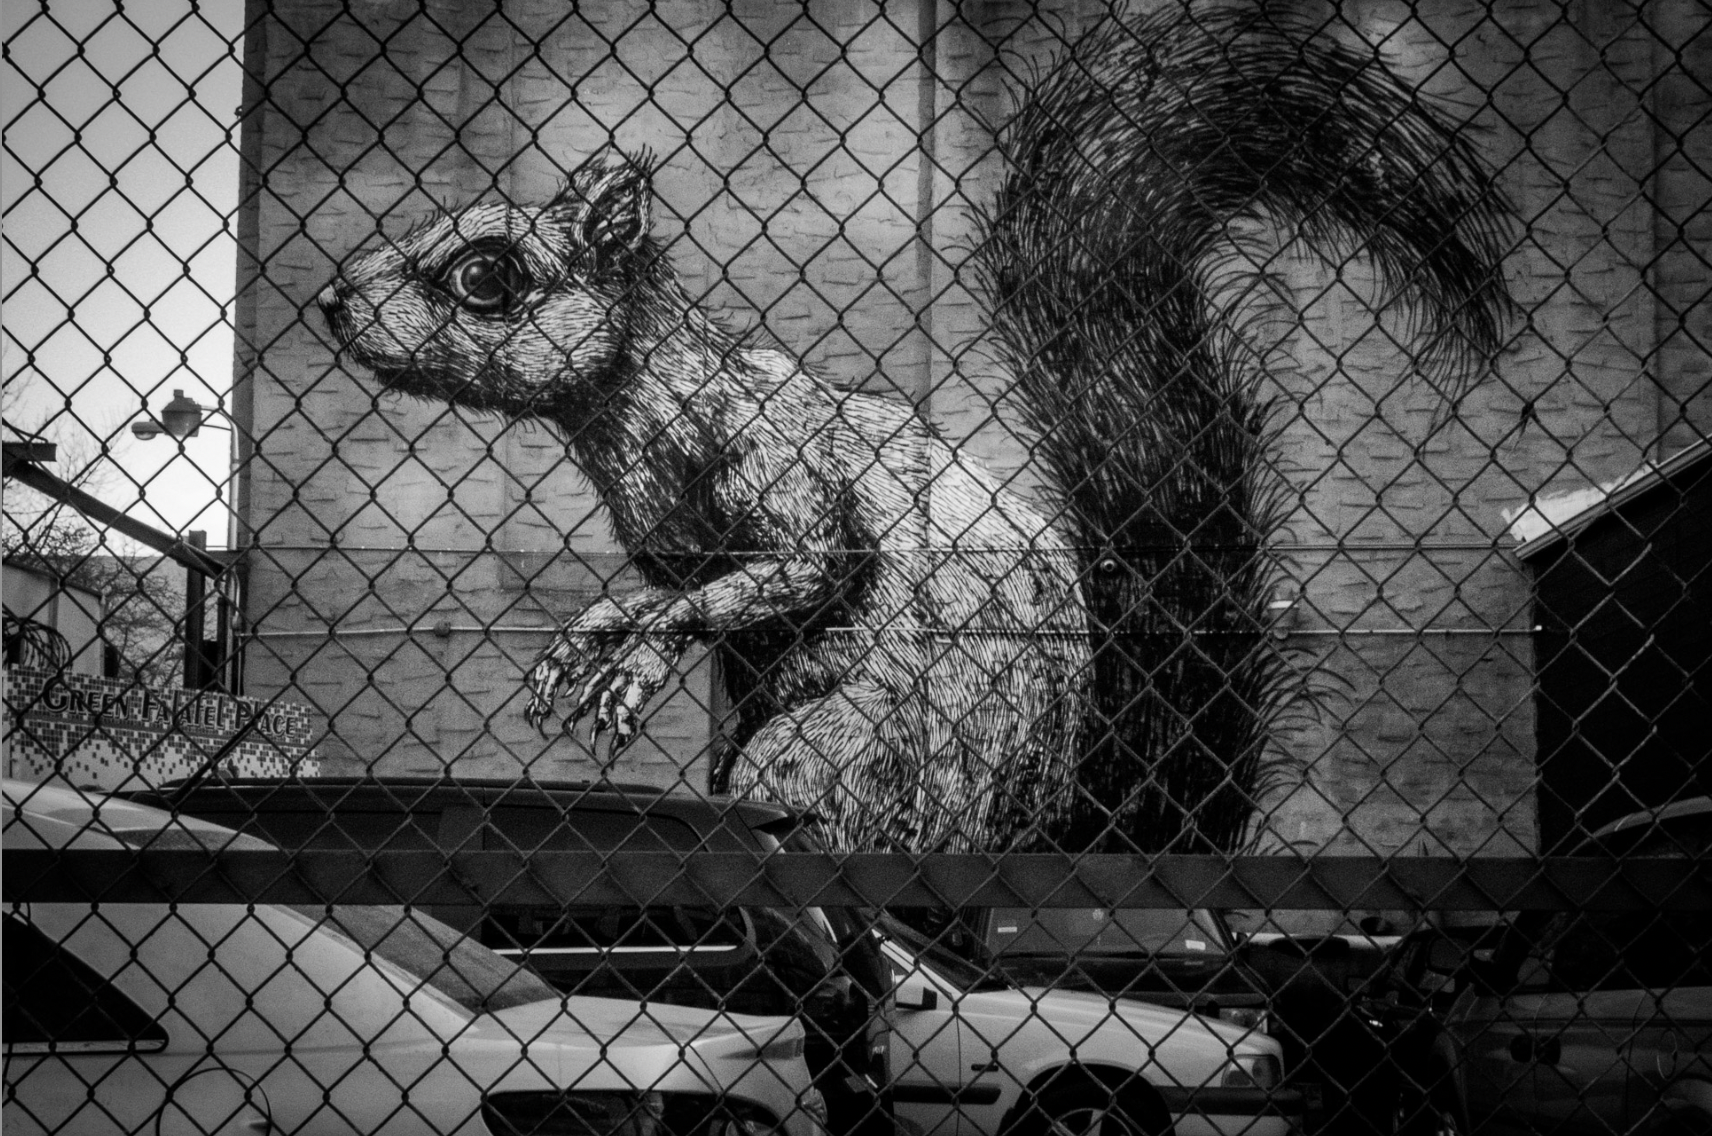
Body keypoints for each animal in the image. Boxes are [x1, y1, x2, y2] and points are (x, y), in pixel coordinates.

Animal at [317, 7, 1512, 853]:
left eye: (487, 277)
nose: (330, 300)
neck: (626, 411)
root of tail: (1040, 833)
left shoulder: (772, 458)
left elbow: (805, 562)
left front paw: (641, 653)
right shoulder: (674, 540)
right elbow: (678, 588)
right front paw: (602, 628)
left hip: (841, 757)